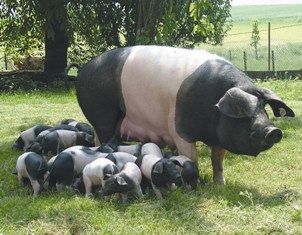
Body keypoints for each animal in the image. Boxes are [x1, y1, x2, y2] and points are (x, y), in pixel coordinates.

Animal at [75, 45, 294, 184]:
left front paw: (220, 185)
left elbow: (218, 160)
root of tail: (84, 69)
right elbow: (191, 158)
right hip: (102, 115)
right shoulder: (180, 130)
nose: (273, 130)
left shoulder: (219, 138)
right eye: (243, 112)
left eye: (264, 109)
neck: (213, 105)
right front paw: (196, 184)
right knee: (102, 138)